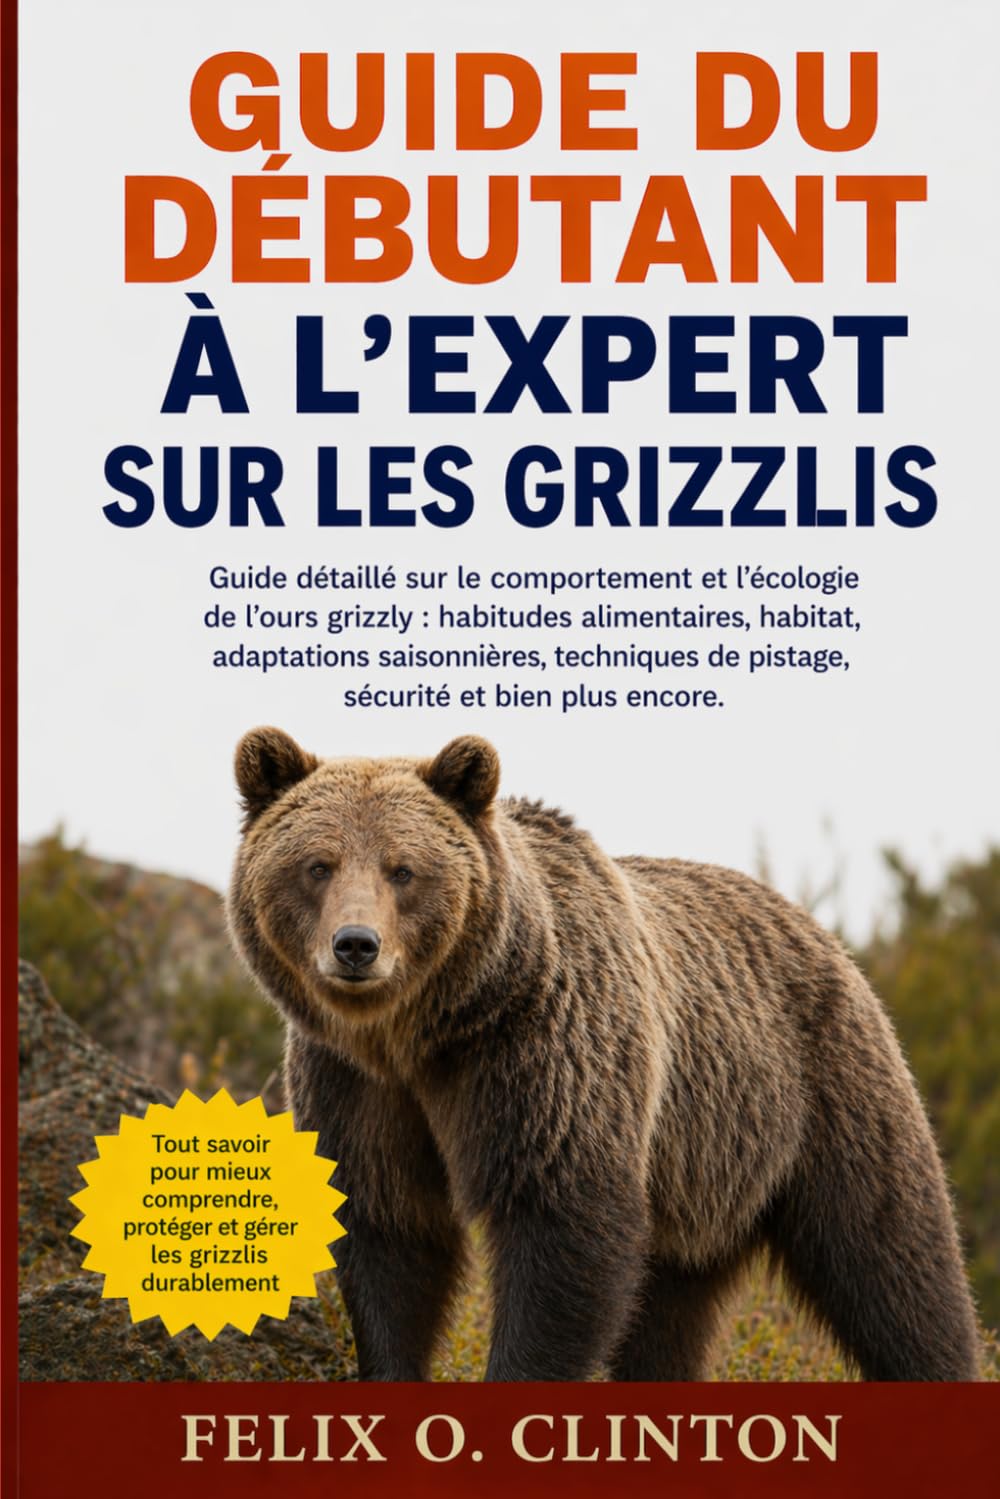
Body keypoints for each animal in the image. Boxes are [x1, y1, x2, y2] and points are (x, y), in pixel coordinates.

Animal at [227, 727, 980, 1383]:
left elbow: (564, 1228)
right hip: (698, 1178)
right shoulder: (356, 1087)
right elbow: (390, 1234)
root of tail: (822, 931)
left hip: (825, 1093)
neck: (424, 1033)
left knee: (893, 1262)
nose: (356, 945)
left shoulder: (544, 1056)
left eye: (403, 869)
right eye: (317, 865)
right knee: (669, 1320)